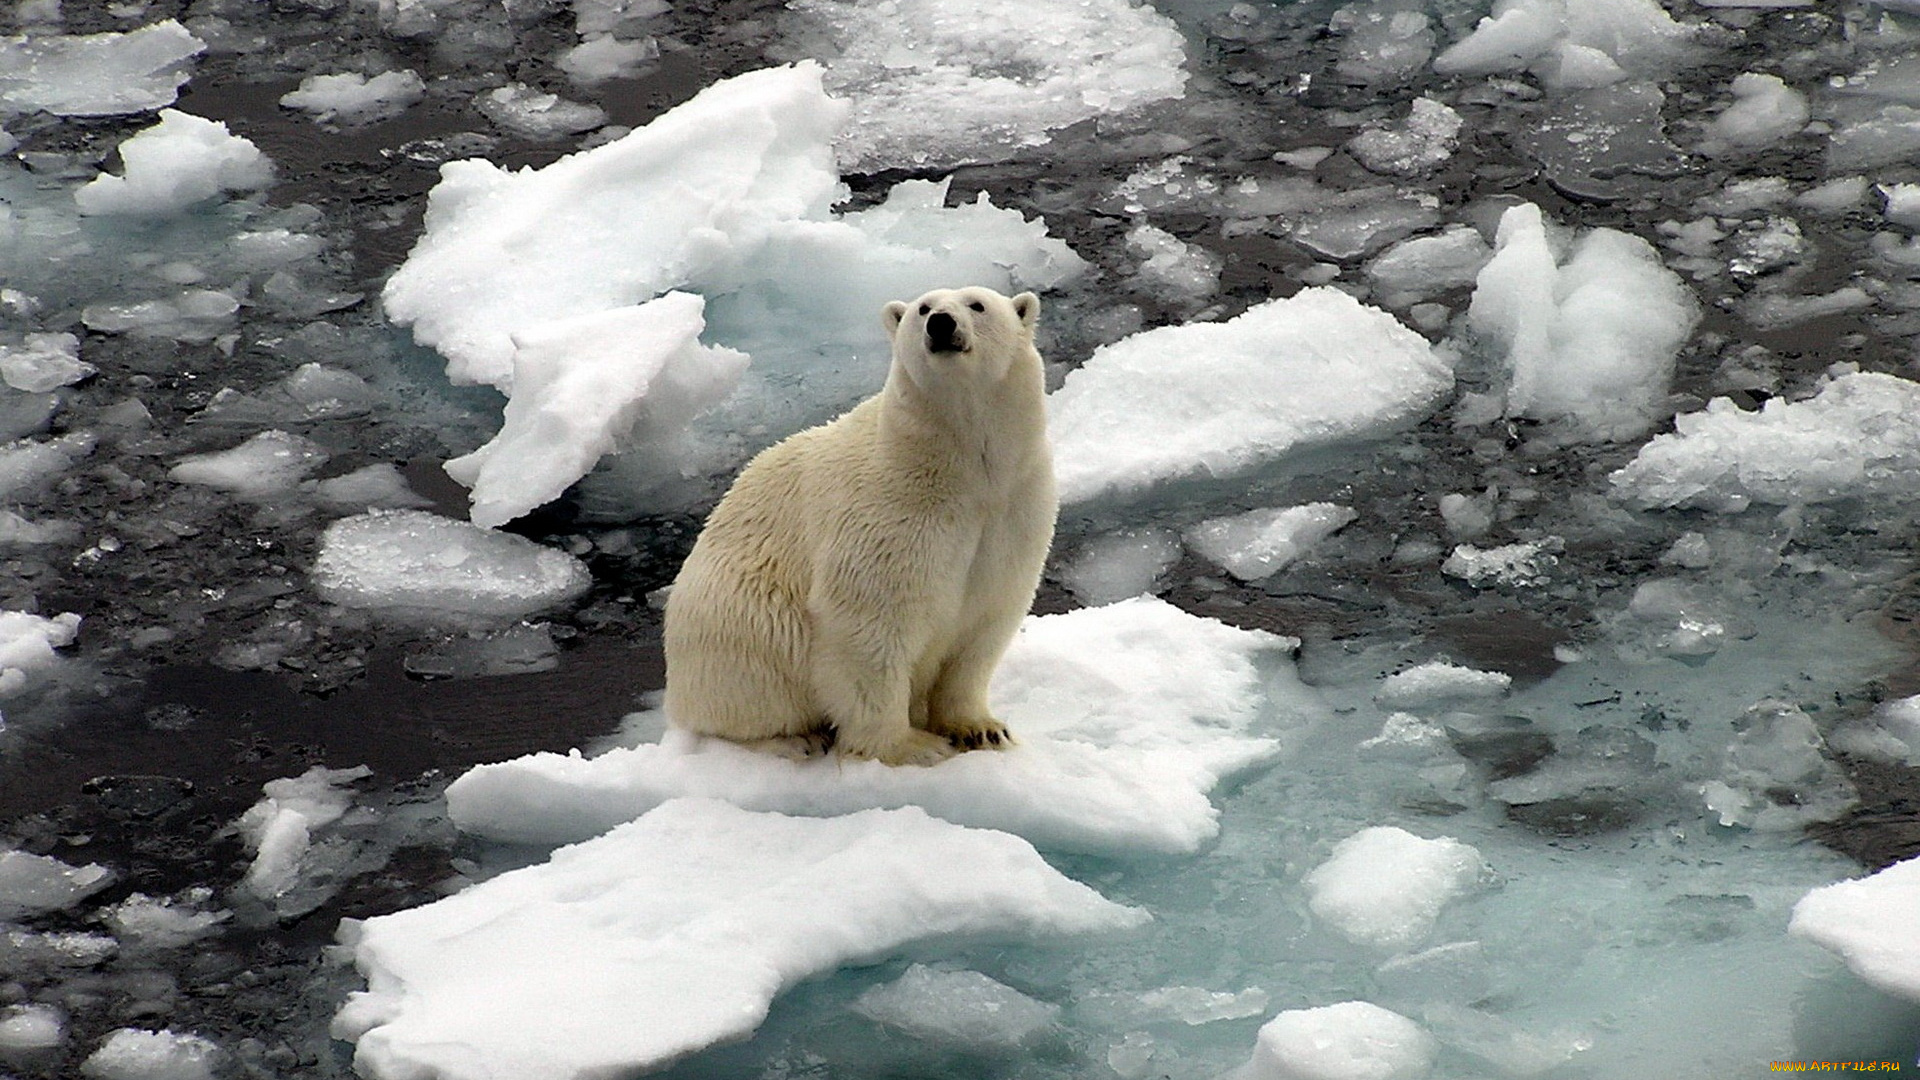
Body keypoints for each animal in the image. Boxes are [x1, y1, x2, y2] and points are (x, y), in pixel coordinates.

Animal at [662, 286, 1056, 766]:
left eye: (977, 305)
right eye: (923, 308)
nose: (941, 323)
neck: (961, 471)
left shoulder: (1012, 509)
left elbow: (984, 623)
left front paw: (981, 729)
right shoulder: (889, 514)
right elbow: (870, 625)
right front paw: (910, 746)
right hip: (734, 621)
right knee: (748, 686)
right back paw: (794, 738)